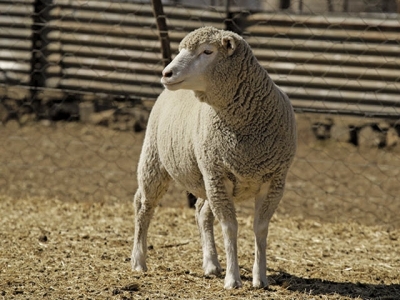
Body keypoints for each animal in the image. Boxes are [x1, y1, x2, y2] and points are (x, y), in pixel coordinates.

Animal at [131, 27, 296, 290]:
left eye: (207, 51)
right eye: (181, 50)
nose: (166, 73)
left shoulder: (273, 180)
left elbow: (260, 229)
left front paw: (260, 278)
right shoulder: (218, 176)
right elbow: (229, 228)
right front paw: (233, 279)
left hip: (204, 176)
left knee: (201, 211)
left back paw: (211, 264)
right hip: (155, 159)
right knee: (143, 205)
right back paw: (138, 261)